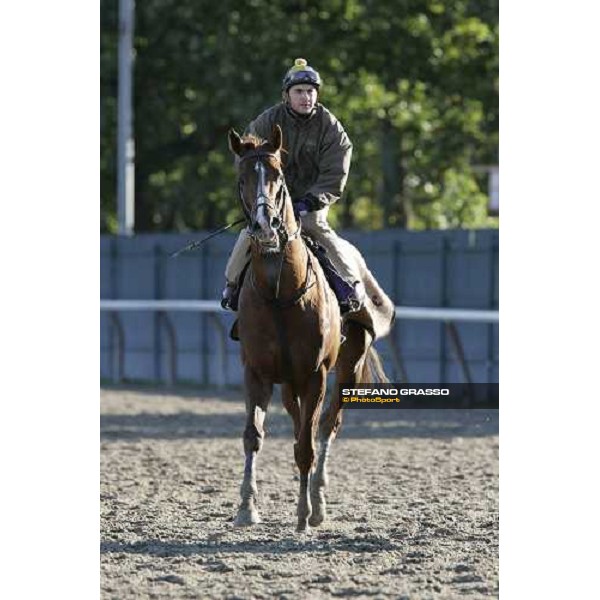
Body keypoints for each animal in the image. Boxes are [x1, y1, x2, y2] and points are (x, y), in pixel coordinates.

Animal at [227, 125, 386, 528]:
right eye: (242, 179)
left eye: (278, 177)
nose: (264, 228)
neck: (281, 296)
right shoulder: (256, 371)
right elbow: (253, 435)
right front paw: (246, 507)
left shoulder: (316, 374)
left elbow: (307, 444)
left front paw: (304, 513)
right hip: (289, 383)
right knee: (302, 422)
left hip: (347, 365)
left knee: (326, 425)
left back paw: (318, 500)